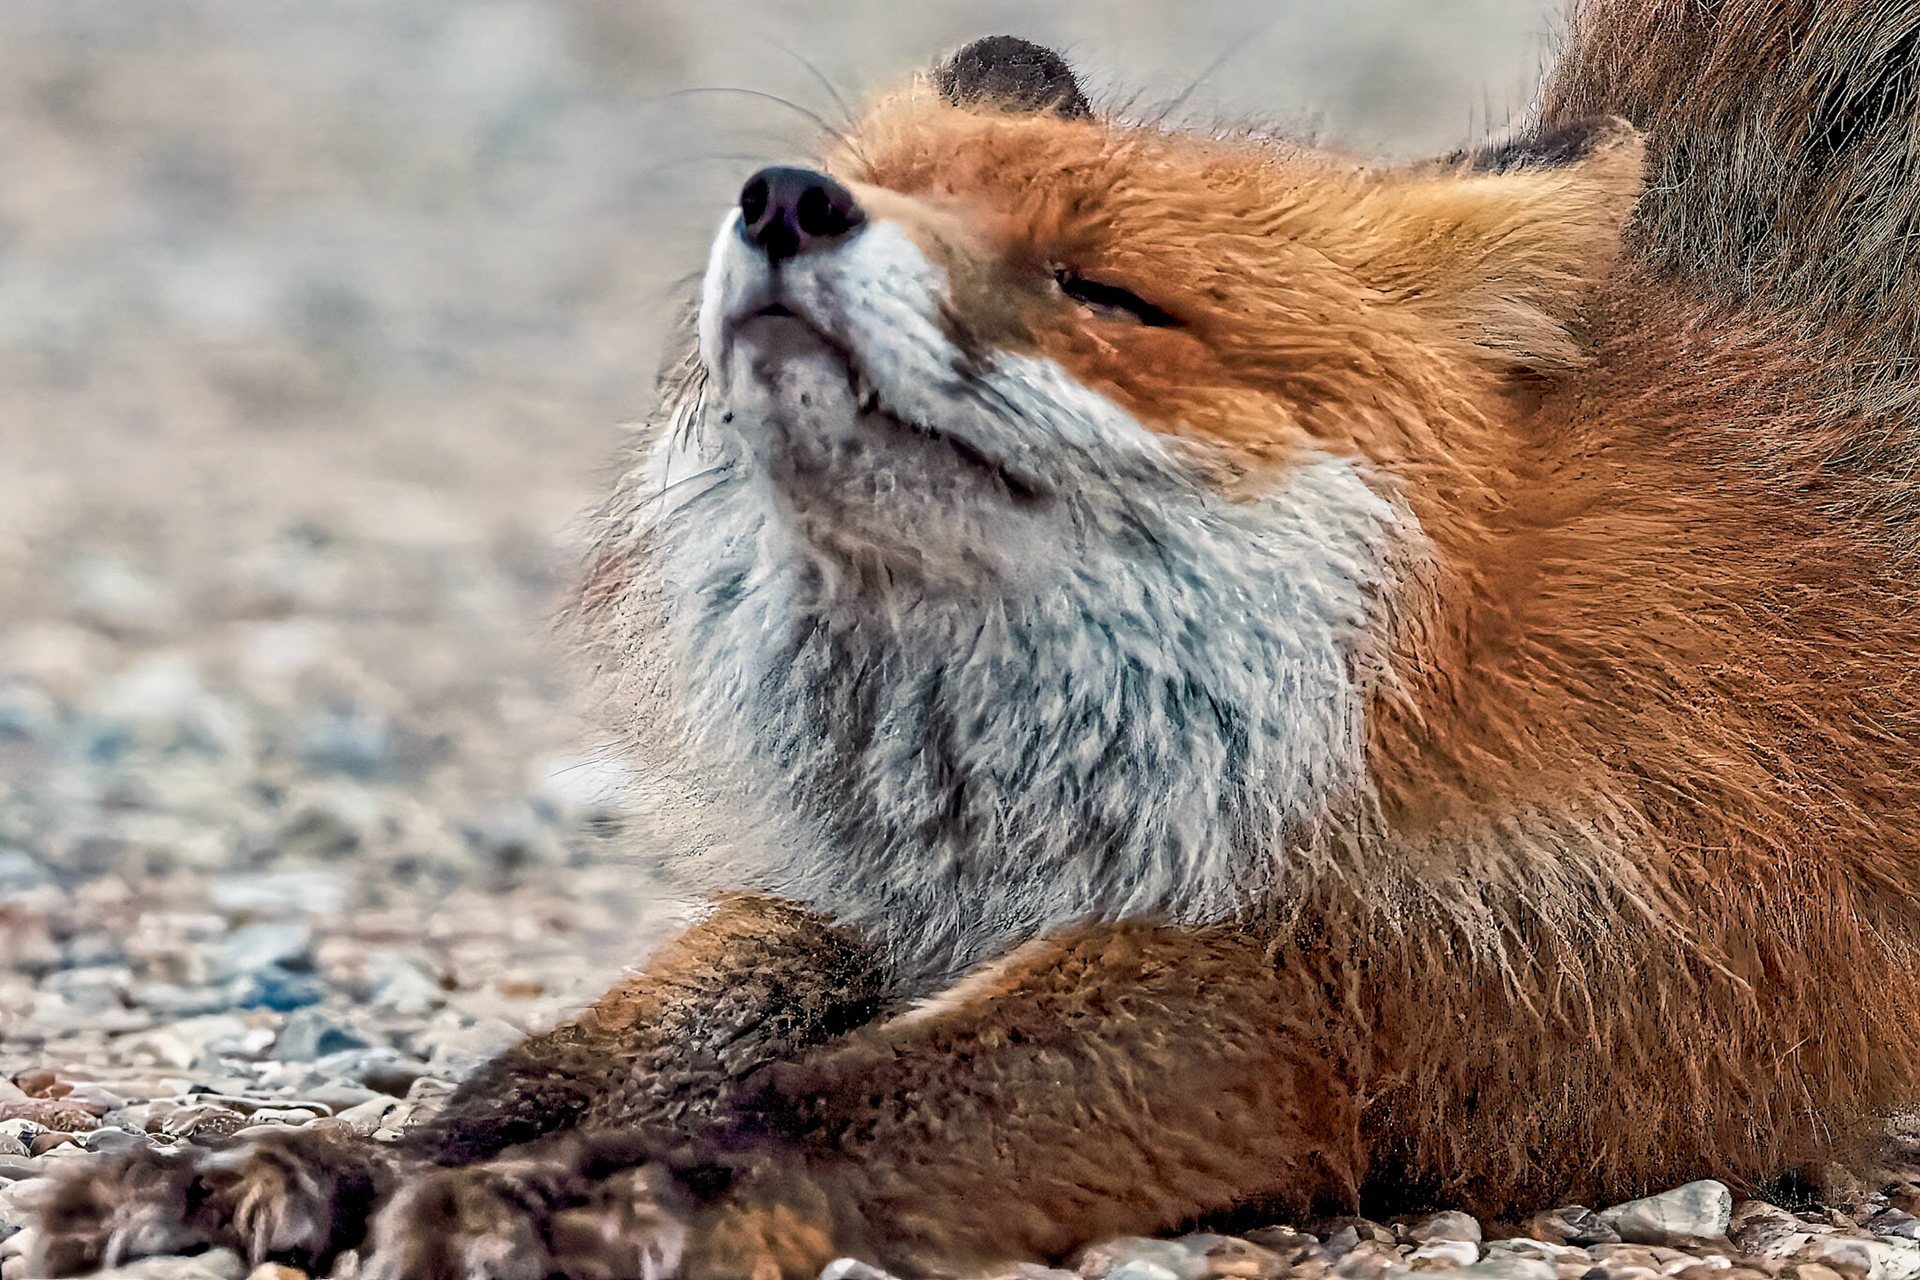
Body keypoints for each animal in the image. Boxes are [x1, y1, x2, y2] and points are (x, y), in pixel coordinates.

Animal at [27, 5, 1920, 1280]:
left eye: (1107, 291)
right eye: (886, 186)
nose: (788, 200)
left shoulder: (1423, 984)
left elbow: (857, 1100)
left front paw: (624, 1190)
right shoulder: (880, 897)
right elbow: (576, 1059)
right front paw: (343, 1150)